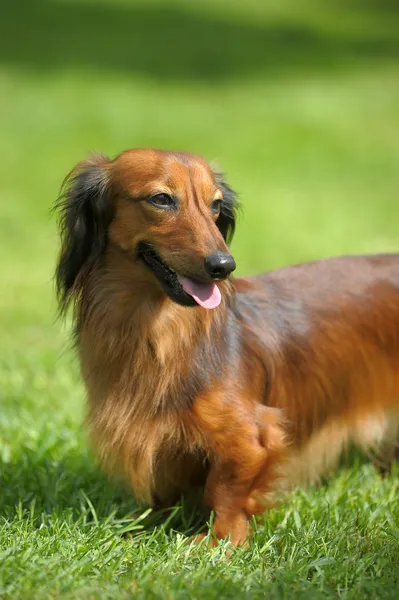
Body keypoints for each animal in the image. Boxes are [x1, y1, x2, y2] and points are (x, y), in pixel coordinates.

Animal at [55, 148, 399, 548]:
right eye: (161, 199)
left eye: (216, 205)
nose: (224, 266)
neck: (157, 332)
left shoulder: (253, 436)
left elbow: (224, 488)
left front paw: (218, 542)